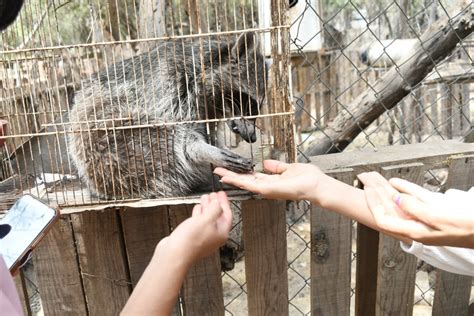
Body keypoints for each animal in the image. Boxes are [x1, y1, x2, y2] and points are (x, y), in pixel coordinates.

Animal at [67, 32, 266, 200]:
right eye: (250, 102)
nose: (252, 137)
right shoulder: (170, 84)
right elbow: (181, 138)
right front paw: (203, 150)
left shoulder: (207, 109)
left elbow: (206, 132)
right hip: (109, 148)